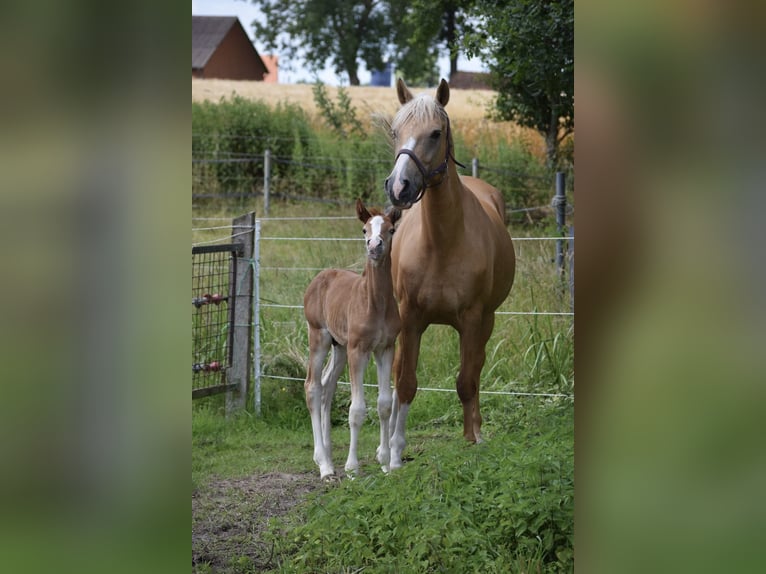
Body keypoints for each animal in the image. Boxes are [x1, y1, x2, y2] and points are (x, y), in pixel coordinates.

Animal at [304, 200, 404, 480]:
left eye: (391, 230)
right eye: (364, 229)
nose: (374, 246)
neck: (375, 302)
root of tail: (320, 277)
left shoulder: (385, 348)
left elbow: (384, 404)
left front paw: (385, 461)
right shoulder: (358, 350)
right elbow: (357, 409)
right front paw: (352, 467)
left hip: (339, 347)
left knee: (327, 386)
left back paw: (326, 456)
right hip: (319, 337)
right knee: (312, 387)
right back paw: (325, 466)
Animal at [384, 79, 516, 470]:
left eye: (435, 133)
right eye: (395, 132)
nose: (399, 187)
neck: (441, 243)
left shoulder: (472, 319)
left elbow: (466, 381)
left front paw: (474, 439)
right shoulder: (411, 319)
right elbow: (406, 382)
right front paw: (395, 455)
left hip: (485, 322)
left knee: (475, 368)